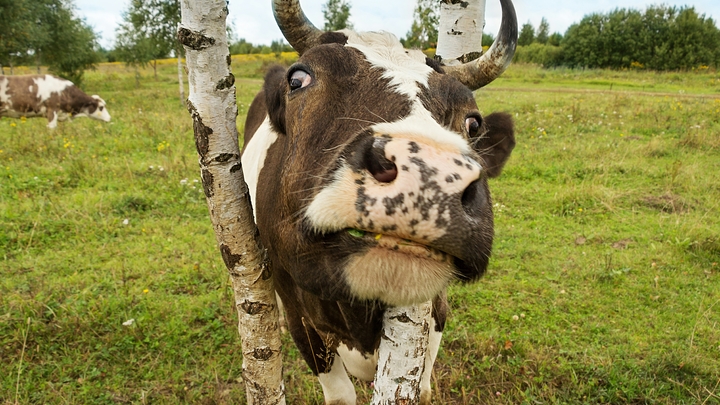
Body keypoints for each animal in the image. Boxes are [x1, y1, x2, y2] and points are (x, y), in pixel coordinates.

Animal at [242, 1, 516, 402]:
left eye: (474, 123)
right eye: (298, 79)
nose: (430, 173)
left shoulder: (436, 311)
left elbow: (423, 388)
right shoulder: (299, 317)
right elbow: (339, 393)